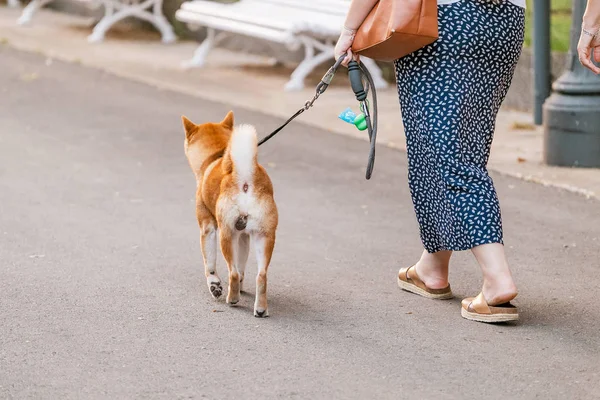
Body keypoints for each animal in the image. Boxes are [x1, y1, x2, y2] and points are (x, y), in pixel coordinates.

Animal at [182, 111, 278, 318]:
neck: (217, 155)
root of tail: (245, 178)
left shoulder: (208, 228)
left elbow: (210, 264)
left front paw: (214, 285)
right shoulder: (244, 236)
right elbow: (241, 267)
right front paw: (241, 286)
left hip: (227, 234)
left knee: (232, 272)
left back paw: (232, 298)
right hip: (264, 237)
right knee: (261, 276)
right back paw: (260, 309)